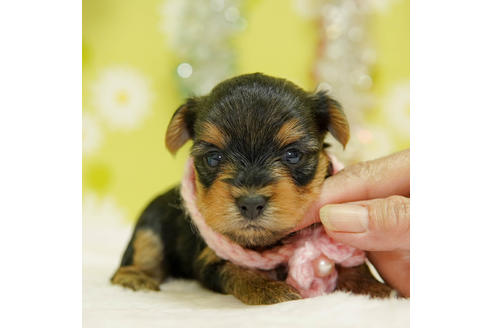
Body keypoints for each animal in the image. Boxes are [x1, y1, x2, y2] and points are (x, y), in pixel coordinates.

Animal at [111, 72, 392, 304]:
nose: (251, 203)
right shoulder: (210, 259)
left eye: (292, 155)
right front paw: (270, 290)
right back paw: (135, 277)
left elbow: (352, 264)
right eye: (214, 158)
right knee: (139, 254)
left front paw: (372, 287)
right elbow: (237, 270)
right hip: (150, 226)